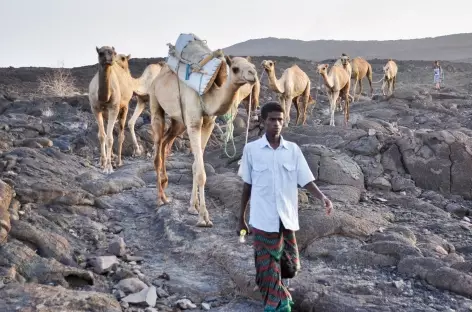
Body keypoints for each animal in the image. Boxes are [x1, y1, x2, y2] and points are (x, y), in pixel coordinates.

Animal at [87, 45, 136, 173]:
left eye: (114, 52)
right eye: (100, 53)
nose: (110, 60)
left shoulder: (114, 108)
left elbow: (110, 138)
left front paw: (108, 167)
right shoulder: (95, 108)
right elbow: (101, 136)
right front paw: (102, 163)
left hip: (124, 107)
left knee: (120, 135)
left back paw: (118, 161)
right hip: (106, 113)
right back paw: (112, 157)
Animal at [149, 55, 256, 227]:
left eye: (252, 65)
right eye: (235, 68)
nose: (253, 74)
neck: (207, 96)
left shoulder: (208, 124)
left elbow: (194, 166)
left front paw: (193, 206)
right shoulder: (194, 124)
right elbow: (201, 173)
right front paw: (203, 217)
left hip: (179, 121)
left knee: (166, 142)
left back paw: (165, 188)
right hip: (155, 102)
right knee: (157, 152)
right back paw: (160, 198)